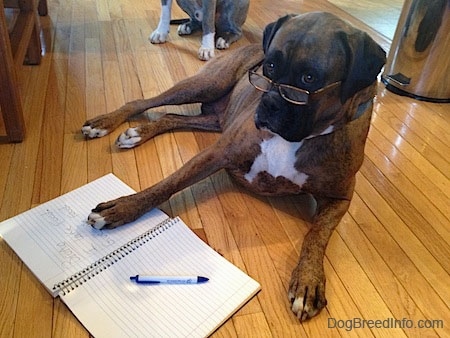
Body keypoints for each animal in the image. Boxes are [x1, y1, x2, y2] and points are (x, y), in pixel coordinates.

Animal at [81, 11, 386, 320]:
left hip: (215, 119)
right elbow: (167, 184)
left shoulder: (339, 198)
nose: (268, 103)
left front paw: (308, 280)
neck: (300, 138)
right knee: (143, 102)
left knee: (169, 116)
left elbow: (317, 235)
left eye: (308, 78)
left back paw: (139, 133)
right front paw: (123, 207)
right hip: (208, 83)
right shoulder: (217, 153)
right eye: (270, 66)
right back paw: (105, 123)